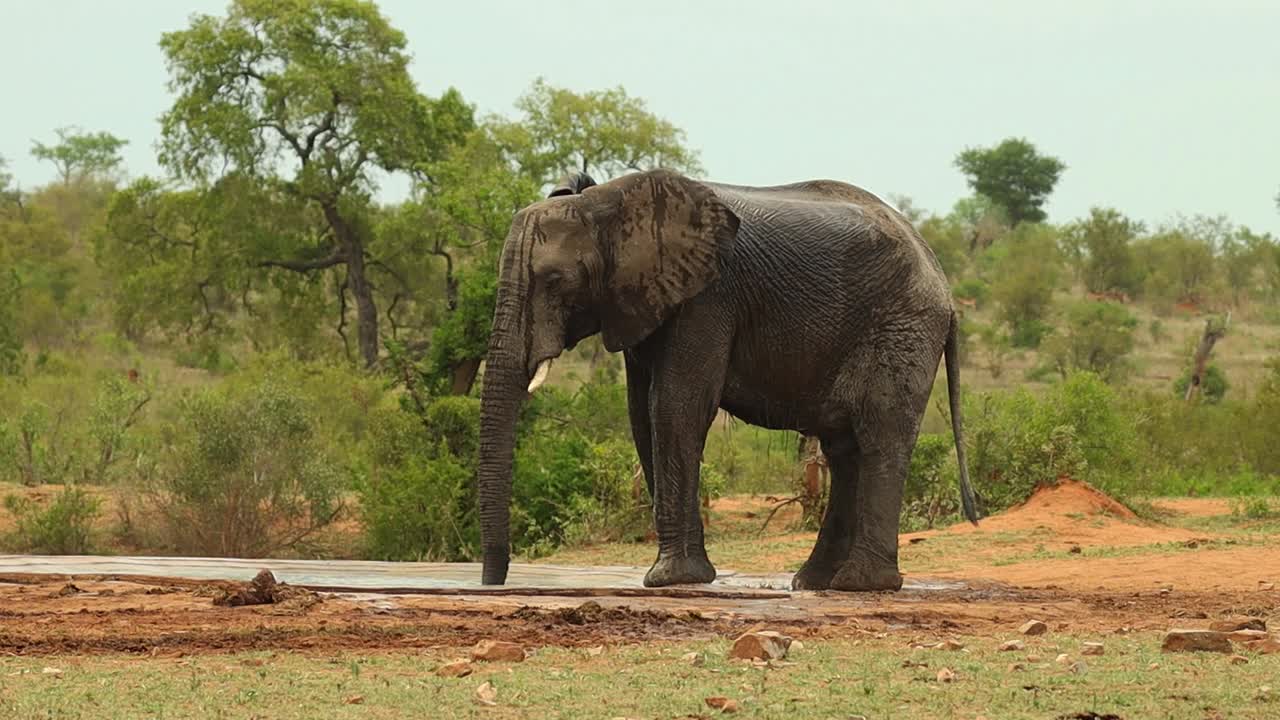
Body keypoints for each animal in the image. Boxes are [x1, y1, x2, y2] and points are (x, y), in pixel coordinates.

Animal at [476, 167, 979, 591]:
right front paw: (686, 577)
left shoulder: (708, 299)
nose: (493, 581)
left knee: (879, 437)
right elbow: (642, 416)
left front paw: (669, 580)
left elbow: (674, 407)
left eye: (555, 281)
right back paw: (814, 583)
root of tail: (942, 280)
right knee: (844, 449)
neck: (609, 203)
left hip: (903, 325)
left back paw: (860, 584)